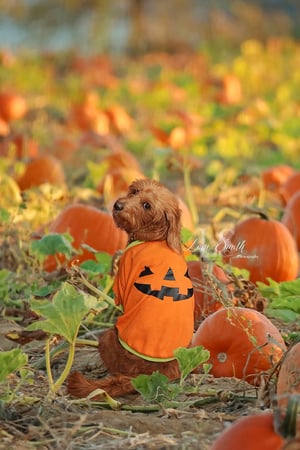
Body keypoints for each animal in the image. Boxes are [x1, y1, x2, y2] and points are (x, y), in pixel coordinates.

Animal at [67, 179, 195, 398]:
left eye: (147, 205)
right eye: (135, 191)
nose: (118, 205)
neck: (155, 235)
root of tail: (151, 373)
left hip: (107, 336)